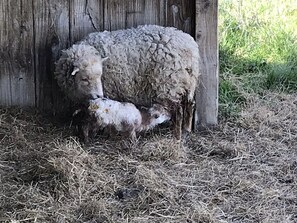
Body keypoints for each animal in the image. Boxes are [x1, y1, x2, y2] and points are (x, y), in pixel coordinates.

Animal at [54, 25, 200, 139]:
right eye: (84, 78)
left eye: (100, 76)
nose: (99, 95)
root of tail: (190, 48)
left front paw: (107, 132)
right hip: (188, 82)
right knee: (190, 104)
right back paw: (186, 130)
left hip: (170, 84)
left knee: (178, 110)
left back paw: (177, 135)